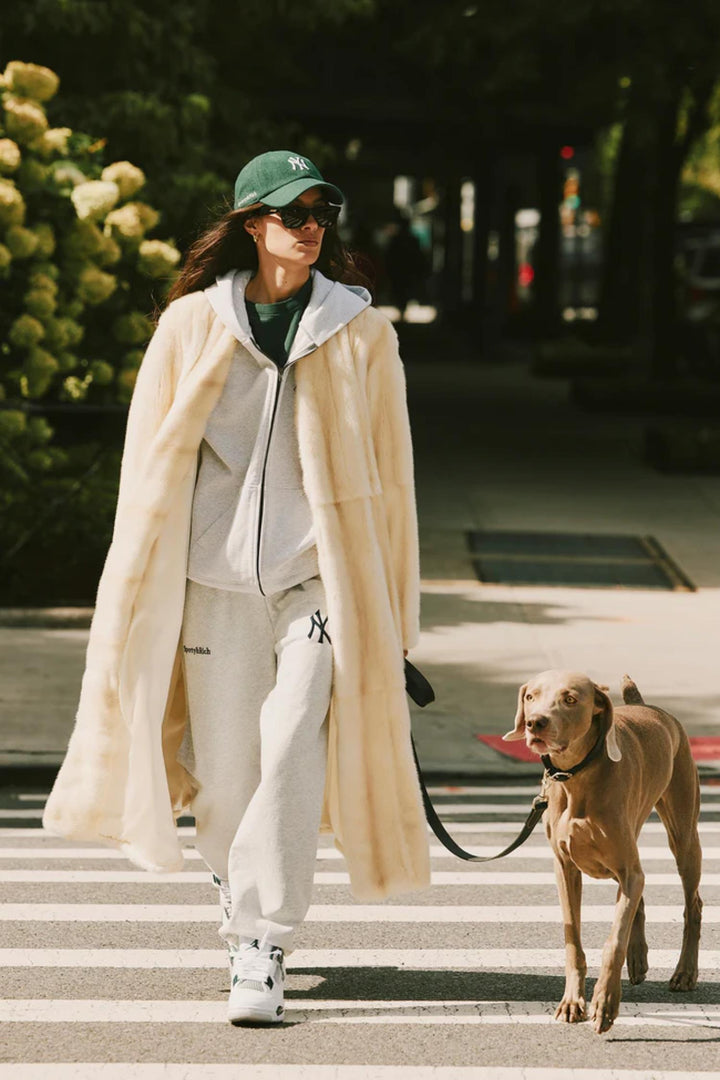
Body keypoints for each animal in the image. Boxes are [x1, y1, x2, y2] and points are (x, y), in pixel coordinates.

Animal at [505, 669, 699, 1032]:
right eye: (530, 696)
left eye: (569, 699)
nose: (535, 723)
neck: (577, 775)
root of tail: (648, 706)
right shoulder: (565, 868)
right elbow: (573, 941)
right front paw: (572, 1002)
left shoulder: (624, 866)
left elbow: (613, 941)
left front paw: (605, 1002)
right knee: (640, 893)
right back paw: (638, 959)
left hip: (683, 835)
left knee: (692, 904)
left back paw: (685, 972)